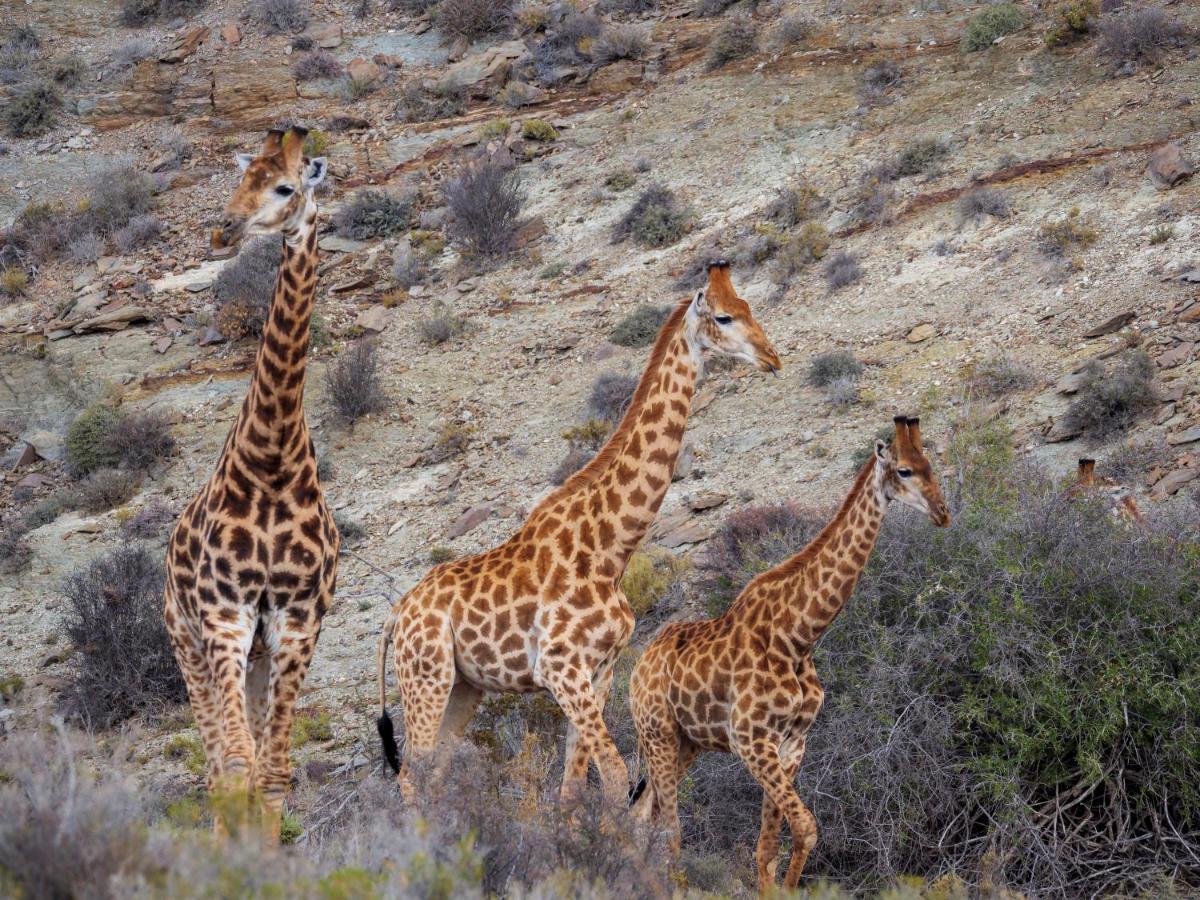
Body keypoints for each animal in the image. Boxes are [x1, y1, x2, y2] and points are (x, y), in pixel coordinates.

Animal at [374, 264, 782, 806]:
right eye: (724, 317)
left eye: (749, 307)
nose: (772, 357)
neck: (611, 550)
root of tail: (398, 613)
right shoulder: (560, 669)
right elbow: (614, 777)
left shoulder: (599, 672)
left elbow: (572, 788)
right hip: (426, 675)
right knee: (409, 775)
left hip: (464, 686)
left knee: (434, 773)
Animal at [633, 417, 950, 897]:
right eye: (905, 471)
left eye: (930, 464)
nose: (943, 513)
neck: (798, 638)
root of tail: (637, 668)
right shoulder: (750, 740)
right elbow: (806, 829)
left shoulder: (791, 743)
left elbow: (769, 847)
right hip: (660, 735)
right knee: (667, 829)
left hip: (687, 744)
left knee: (643, 815)